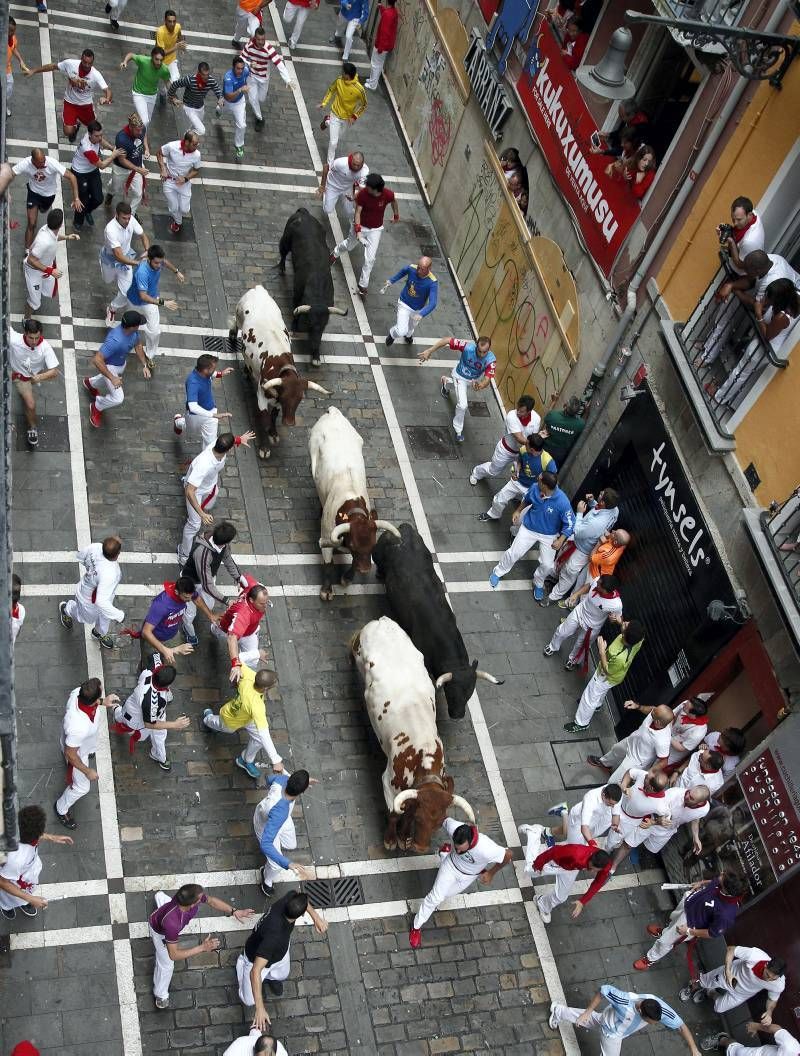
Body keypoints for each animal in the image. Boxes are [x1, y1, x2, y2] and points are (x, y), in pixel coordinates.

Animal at [230, 285, 331, 458]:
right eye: (285, 397)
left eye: (299, 399)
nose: (289, 422)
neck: (280, 366)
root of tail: (258, 289)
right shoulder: (262, 397)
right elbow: (264, 420)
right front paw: (264, 447)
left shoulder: (276, 402)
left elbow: (274, 415)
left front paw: (274, 433)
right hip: (239, 314)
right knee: (235, 325)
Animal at [278, 205, 348, 367]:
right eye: (310, 323)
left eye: (324, 326)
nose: (315, 345)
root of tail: (303, 213)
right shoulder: (297, 295)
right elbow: (296, 311)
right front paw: (294, 329)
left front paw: (316, 357)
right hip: (286, 240)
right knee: (283, 252)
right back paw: (282, 268)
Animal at [308, 405, 398, 604]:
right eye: (355, 547)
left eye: (372, 546)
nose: (365, 570)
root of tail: (333, 412)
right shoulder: (325, 539)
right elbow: (328, 564)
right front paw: (326, 590)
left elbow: (353, 563)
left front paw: (348, 578)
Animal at [352, 616, 477, 853]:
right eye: (420, 820)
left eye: (440, 823)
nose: (420, 848)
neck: (423, 757)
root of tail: (382, 621)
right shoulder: (388, 783)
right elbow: (394, 813)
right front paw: (391, 839)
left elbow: (407, 810)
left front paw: (404, 836)